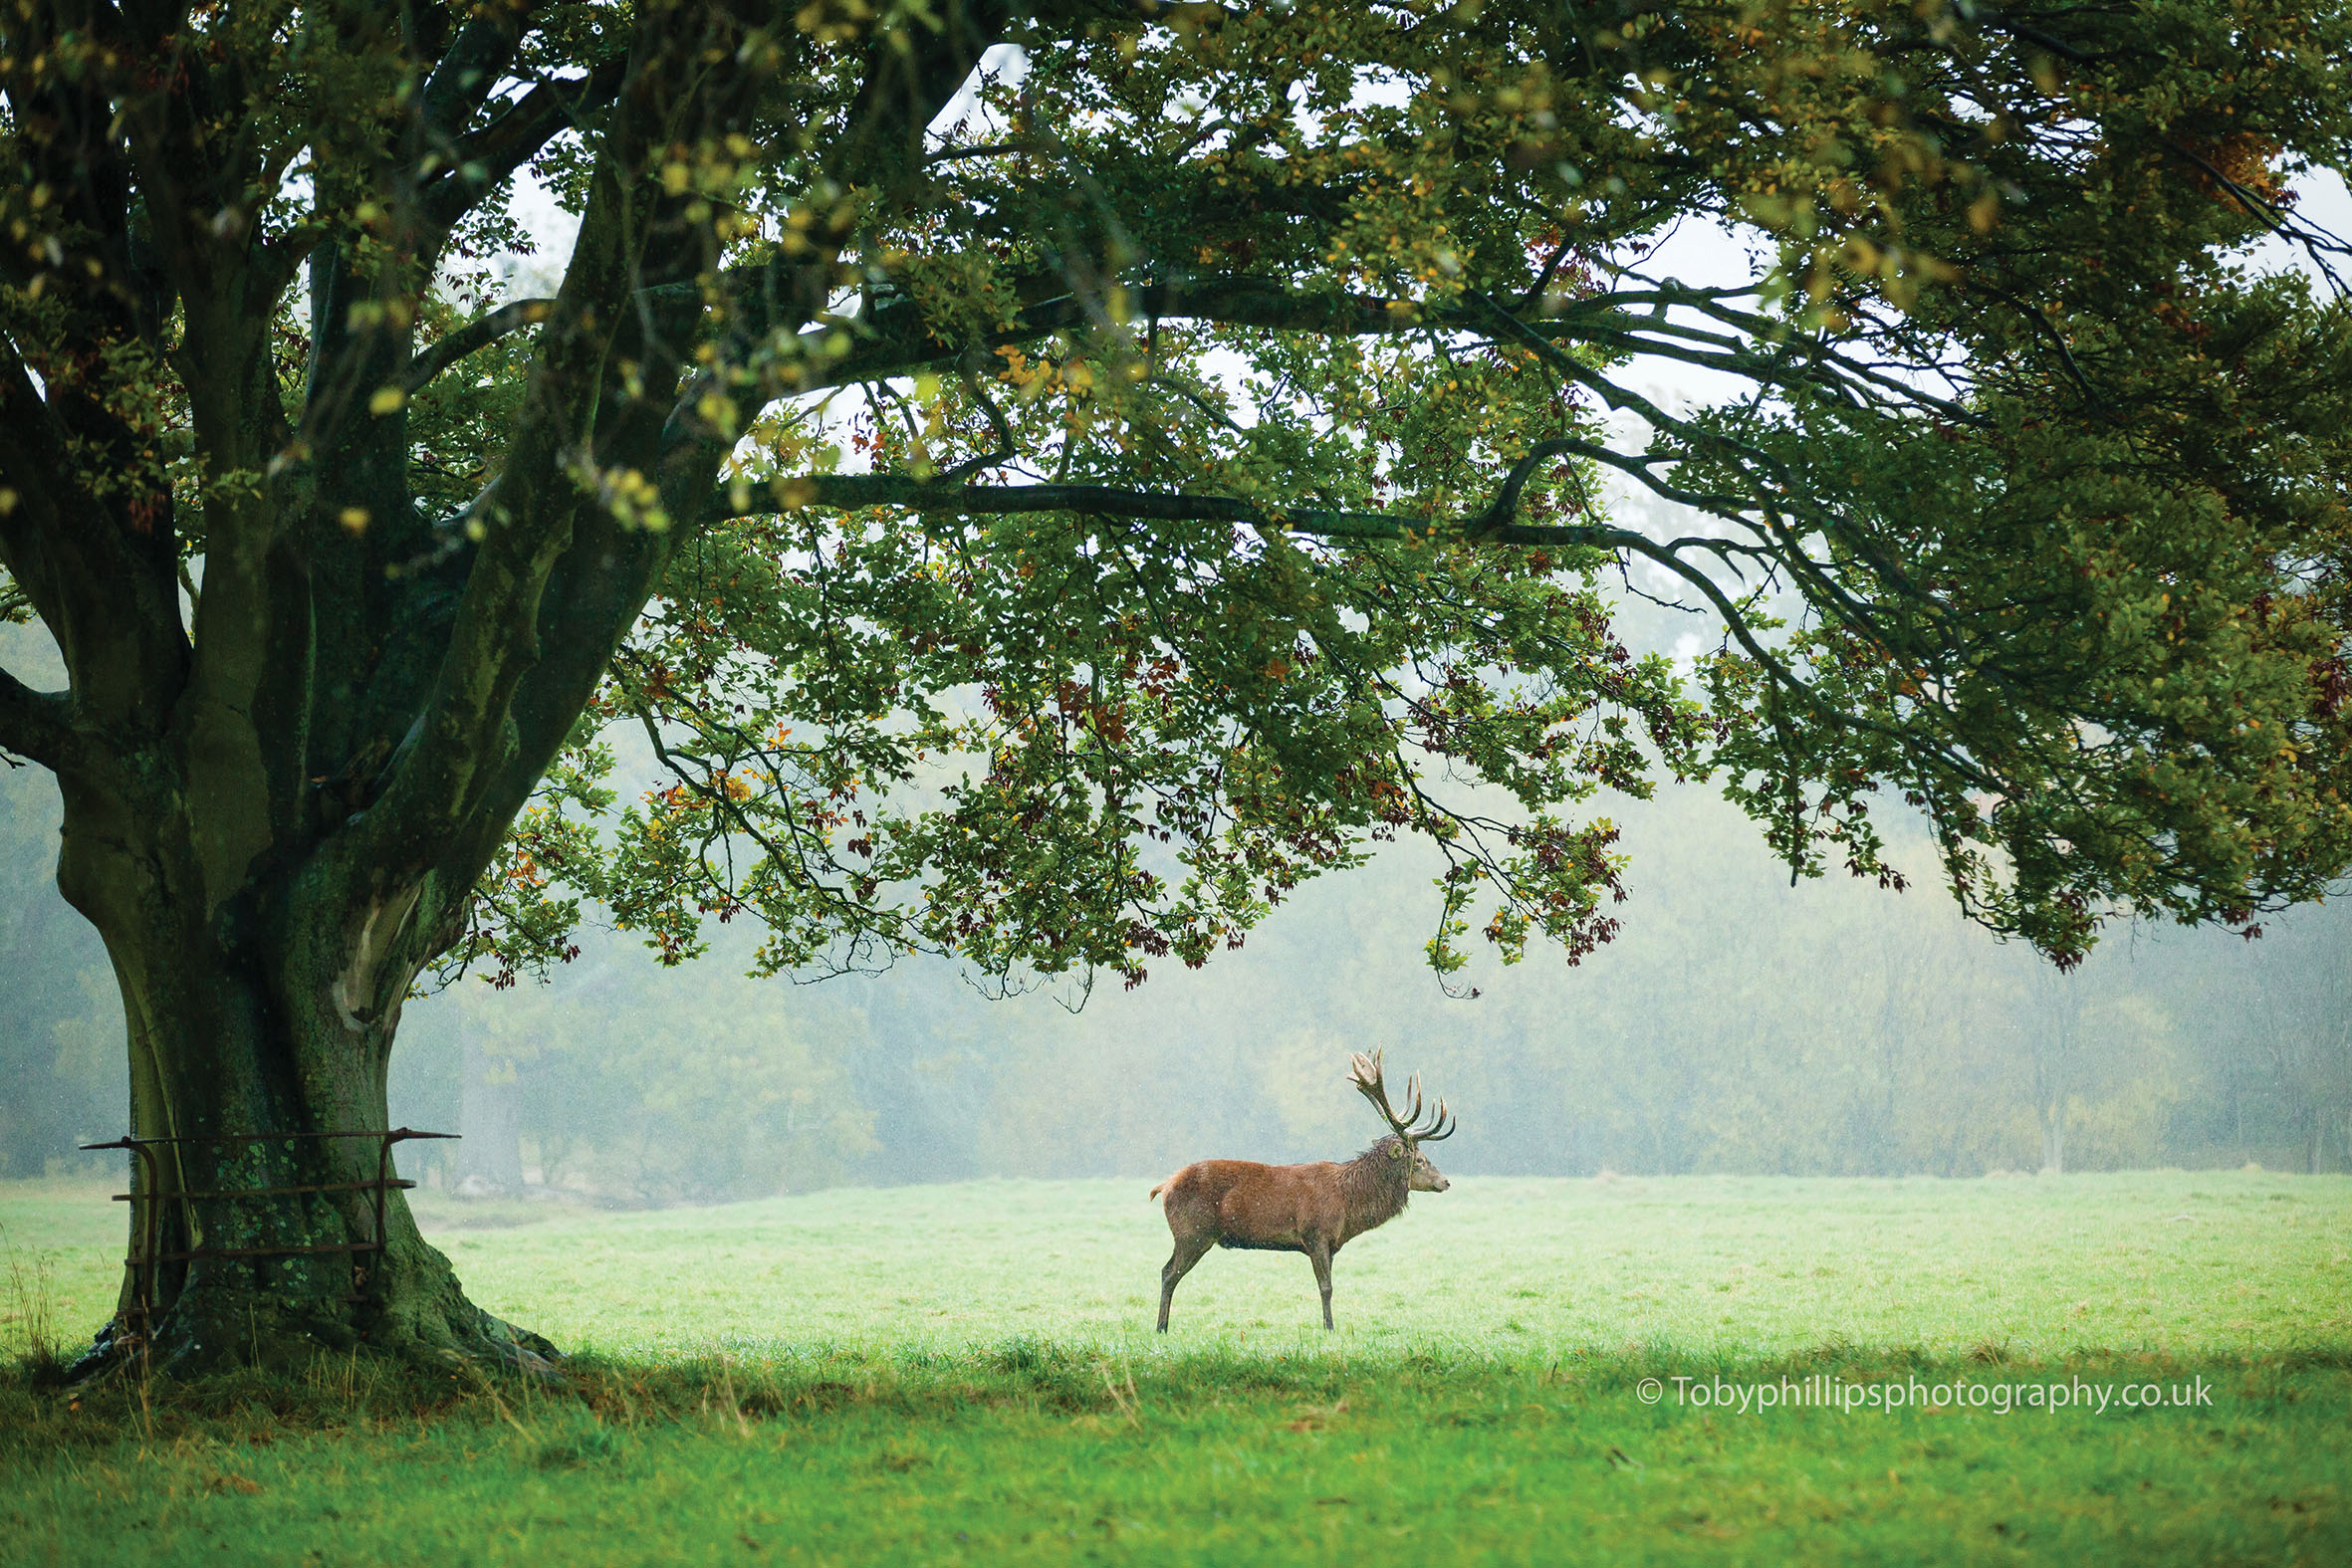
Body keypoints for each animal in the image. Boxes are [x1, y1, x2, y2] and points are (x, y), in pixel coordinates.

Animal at [1150, 1049, 1456, 1332]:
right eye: (1419, 1159)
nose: (1445, 1182)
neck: (1349, 1205)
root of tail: (1163, 1186)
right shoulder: (1314, 1233)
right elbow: (1326, 1287)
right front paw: (1330, 1328)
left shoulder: (1331, 1244)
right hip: (1192, 1233)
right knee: (1168, 1272)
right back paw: (1161, 1328)